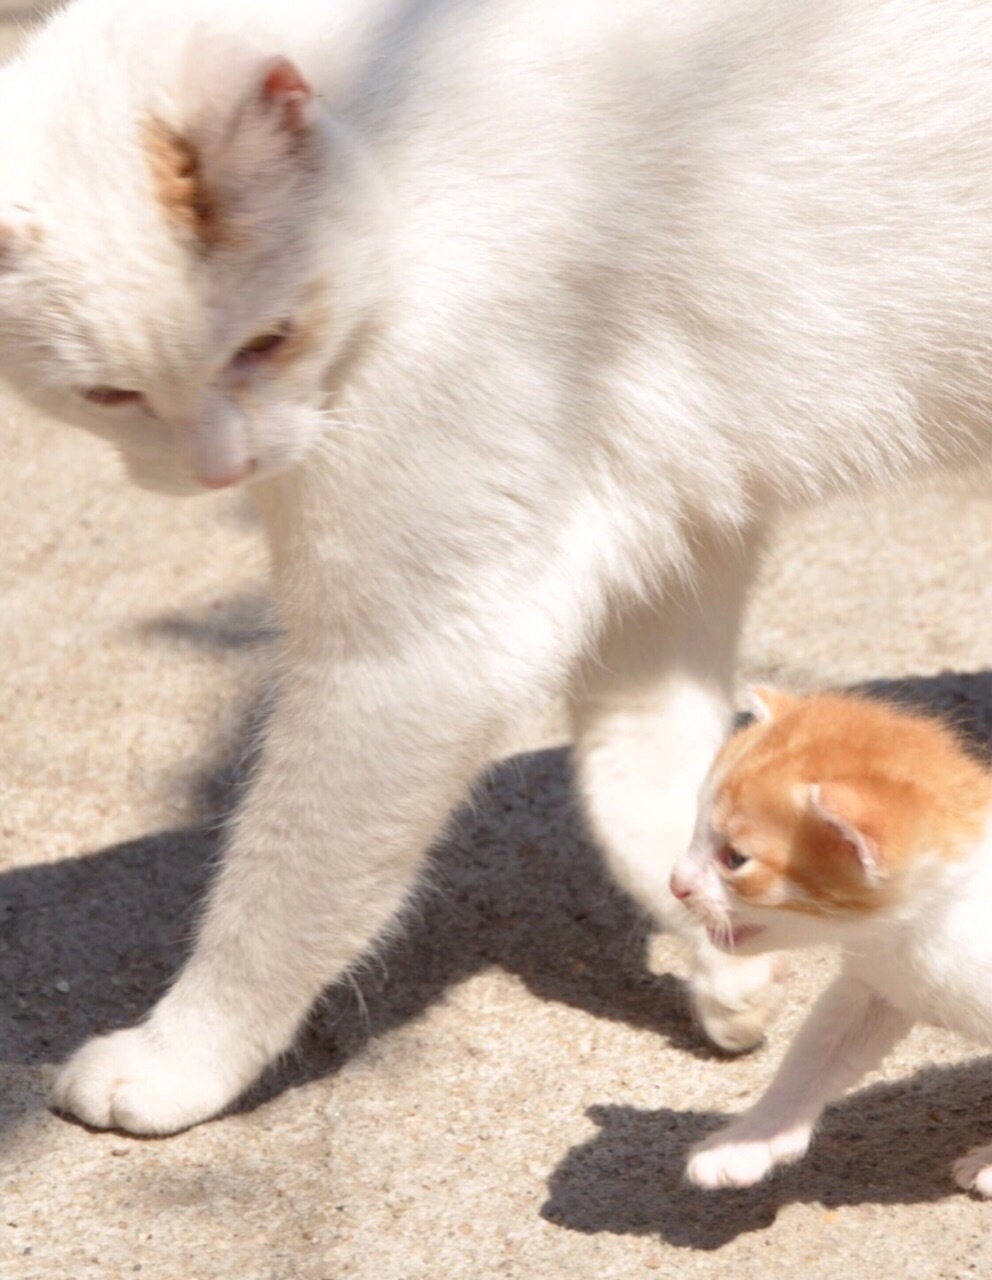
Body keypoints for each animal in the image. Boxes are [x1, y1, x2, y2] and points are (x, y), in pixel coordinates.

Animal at [1, 0, 992, 1141]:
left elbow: (276, 891)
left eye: (269, 340)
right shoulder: (669, 533)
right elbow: (653, 778)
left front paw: (181, 1055)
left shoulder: (414, 654)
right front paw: (723, 952)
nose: (221, 470)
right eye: (110, 395)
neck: (396, 141)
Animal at [670, 691, 992, 1198]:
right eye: (697, 832)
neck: (929, 927)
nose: (675, 884)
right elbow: (811, 1059)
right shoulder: (877, 984)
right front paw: (749, 1141)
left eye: (735, 859)